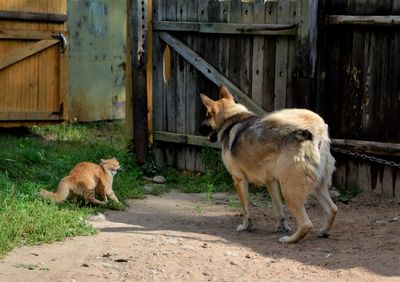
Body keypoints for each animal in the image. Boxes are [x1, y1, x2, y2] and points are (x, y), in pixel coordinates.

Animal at [200, 84, 338, 242]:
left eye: (207, 116)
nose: (199, 127)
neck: (231, 119)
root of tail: (315, 137)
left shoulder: (239, 180)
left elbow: (246, 209)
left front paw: (246, 226)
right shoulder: (271, 181)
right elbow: (278, 209)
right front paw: (282, 227)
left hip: (289, 191)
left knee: (306, 224)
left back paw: (289, 239)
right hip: (316, 187)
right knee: (333, 209)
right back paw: (323, 231)